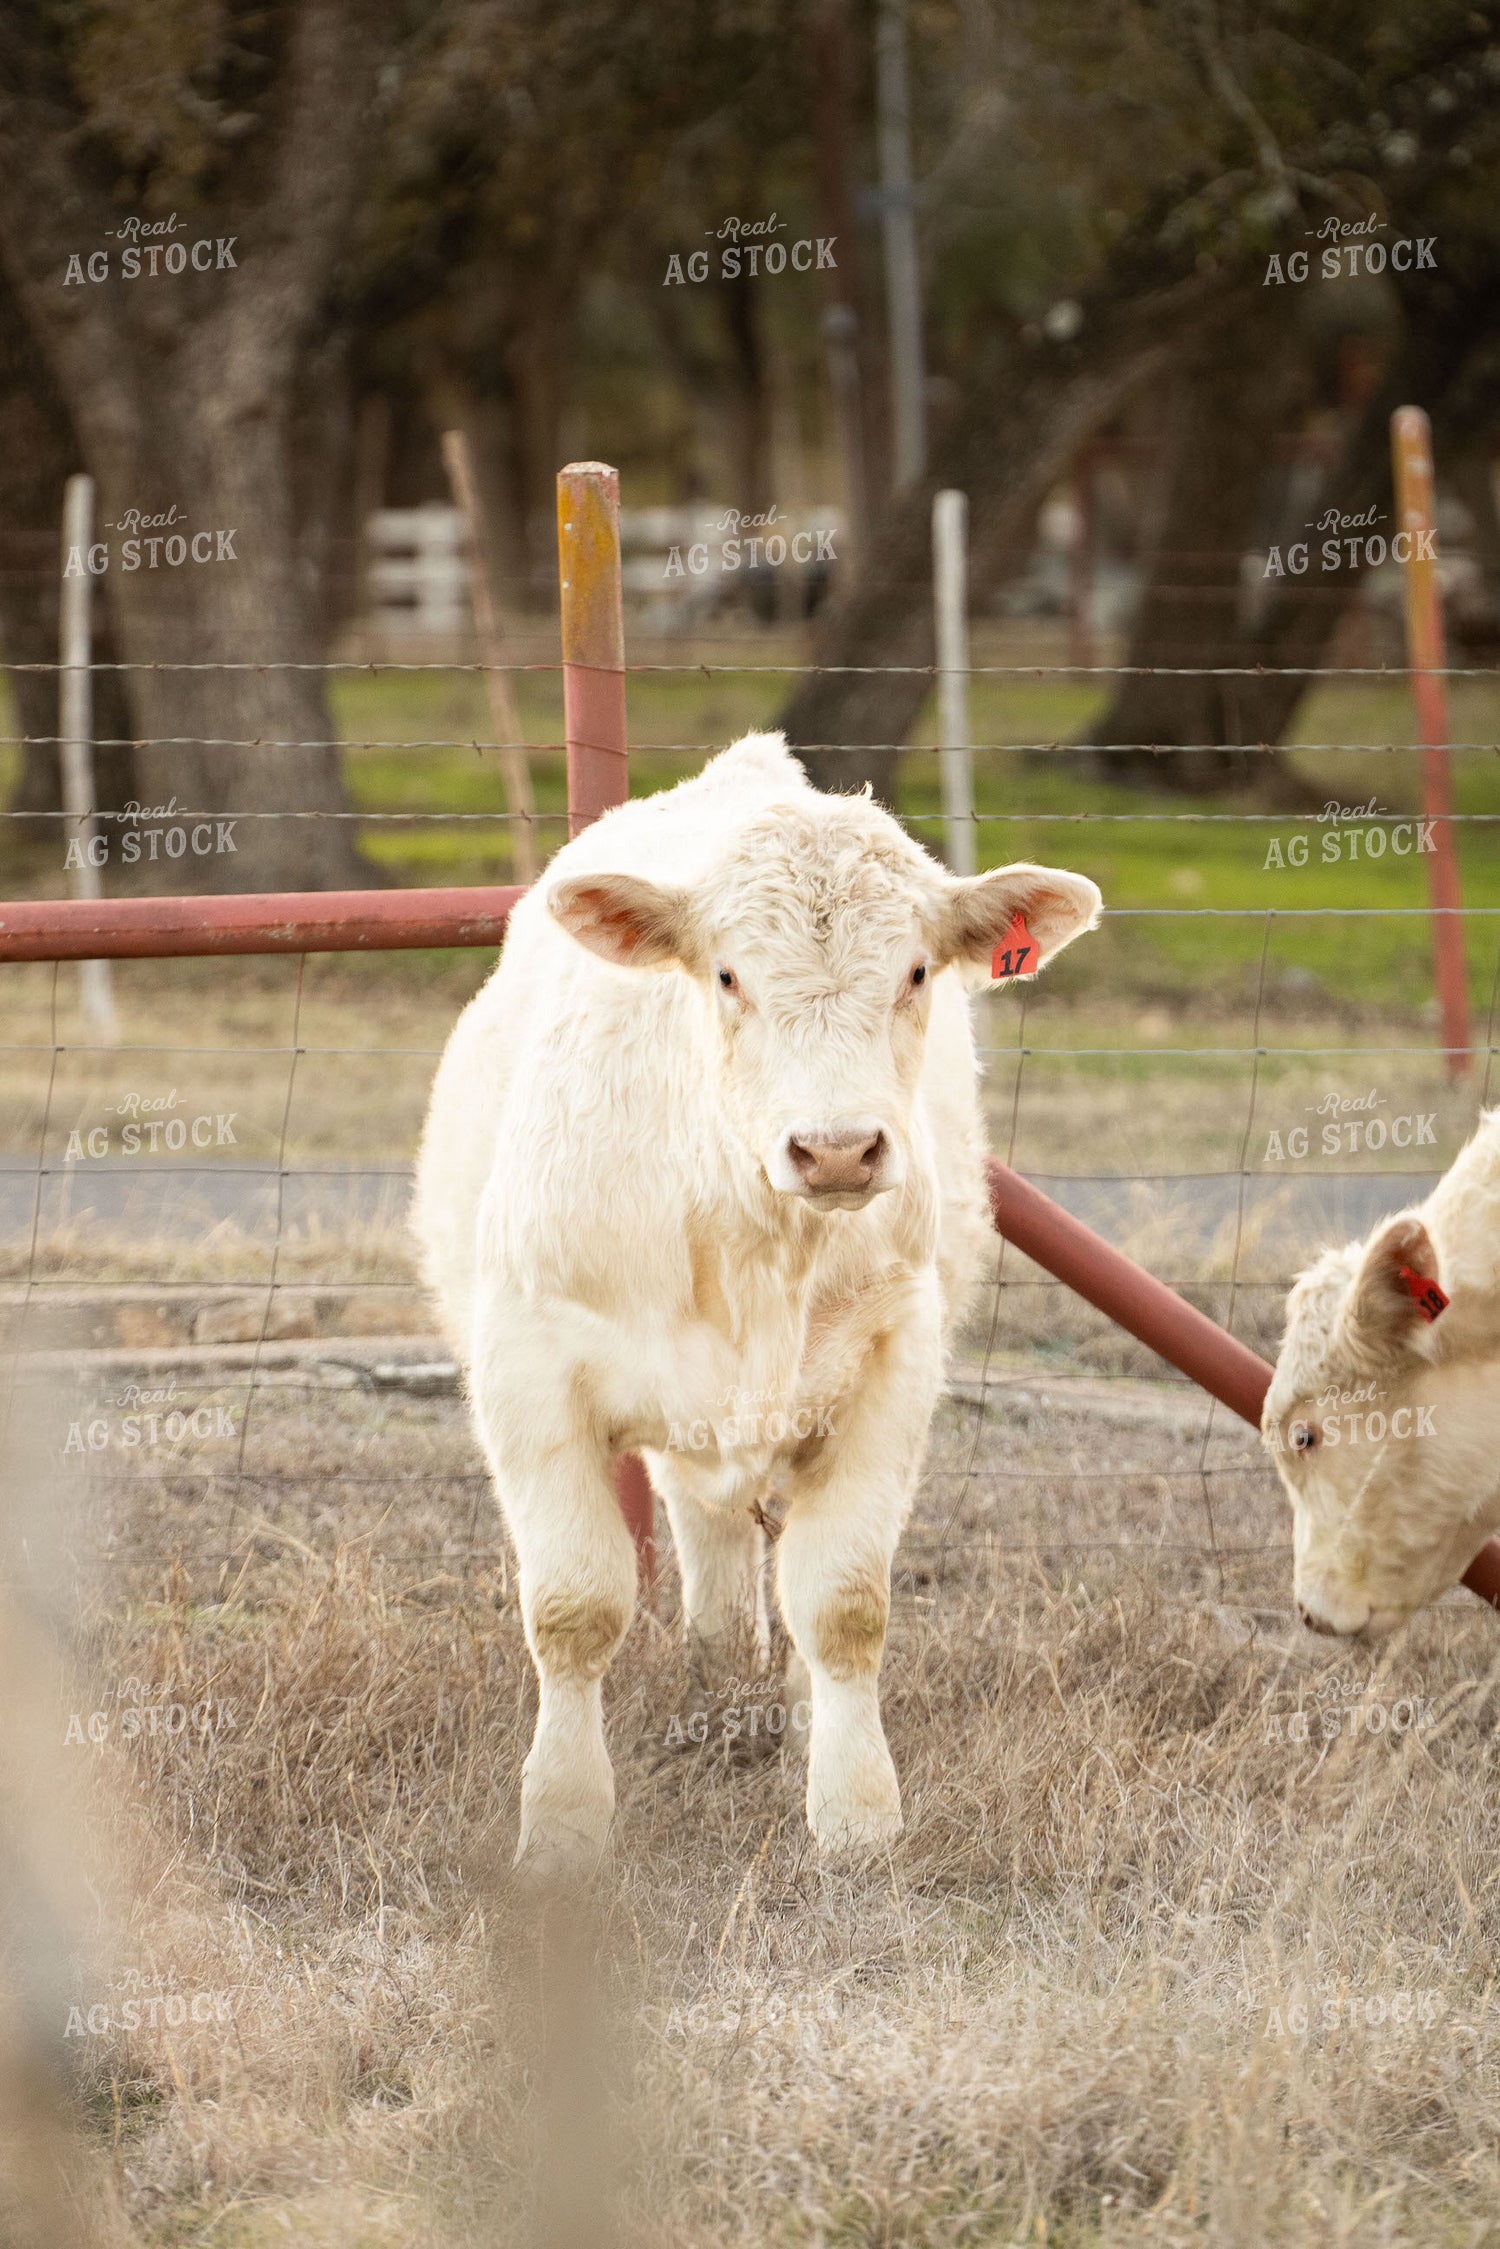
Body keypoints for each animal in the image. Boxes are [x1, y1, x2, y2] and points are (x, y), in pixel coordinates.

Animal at [414, 732, 1101, 1867]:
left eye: (917, 970)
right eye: (729, 973)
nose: (837, 1148)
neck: (749, 1240)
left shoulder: (892, 1364)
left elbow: (844, 1604)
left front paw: (855, 1813)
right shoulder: (528, 1368)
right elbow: (574, 1606)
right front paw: (562, 1823)